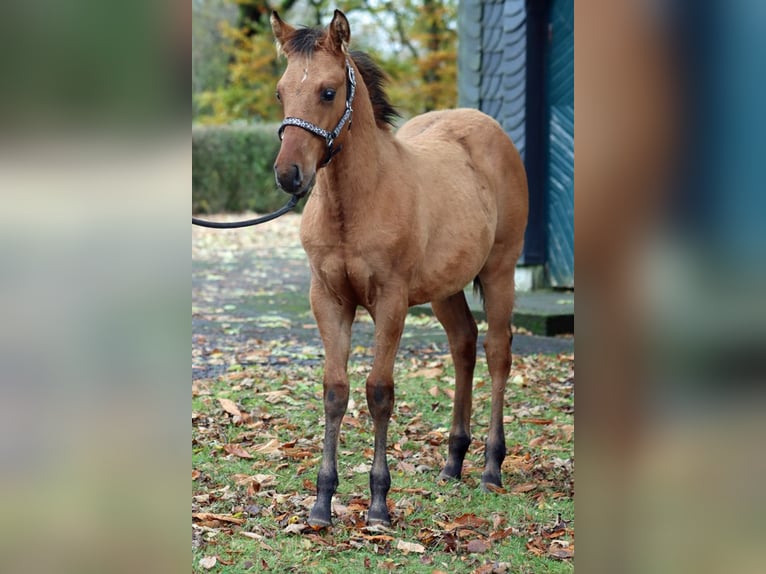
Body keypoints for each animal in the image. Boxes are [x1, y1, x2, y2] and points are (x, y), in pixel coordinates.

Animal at [272, 10, 532, 532]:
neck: (354, 205)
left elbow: (379, 392)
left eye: (328, 91)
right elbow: (335, 391)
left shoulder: (390, 301)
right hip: (444, 288)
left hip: (501, 270)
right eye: (280, 92)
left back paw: (491, 467)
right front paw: (321, 503)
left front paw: (378, 504)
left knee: (497, 352)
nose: (289, 175)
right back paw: (453, 461)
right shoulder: (328, 299)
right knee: (463, 344)